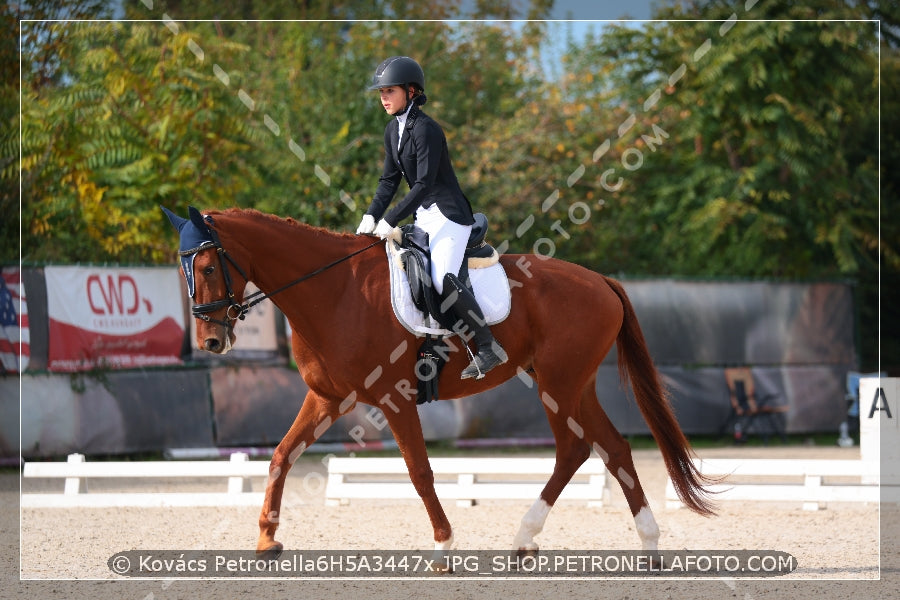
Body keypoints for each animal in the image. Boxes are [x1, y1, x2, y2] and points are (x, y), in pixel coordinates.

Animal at [160, 206, 712, 556]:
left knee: (577, 449)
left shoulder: (394, 398)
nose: (211, 341)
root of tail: (600, 280)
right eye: (183, 269)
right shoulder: (328, 397)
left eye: (206, 266)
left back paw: (533, 536)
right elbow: (280, 456)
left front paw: (445, 544)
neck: (333, 291)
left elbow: (420, 473)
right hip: (573, 384)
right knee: (609, 449)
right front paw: (266, 540)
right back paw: (640, 544)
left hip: (559, 384)